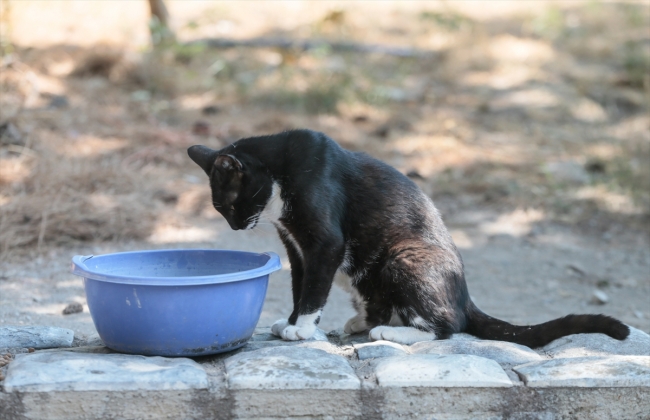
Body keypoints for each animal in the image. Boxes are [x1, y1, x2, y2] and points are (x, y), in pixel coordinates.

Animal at [187, 130, 628, 346]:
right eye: (219, 209)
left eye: (229, 204)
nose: (234, 227)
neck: (282, 175)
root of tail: (466, 295)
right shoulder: (296, 248)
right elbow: (300, 287)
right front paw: (295, 322)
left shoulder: (325, 244)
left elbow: (313, 289)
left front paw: (302, 329)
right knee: (384, 305)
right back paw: (364, 321)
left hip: (405, 256)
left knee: (449, 325)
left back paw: (392, 332)